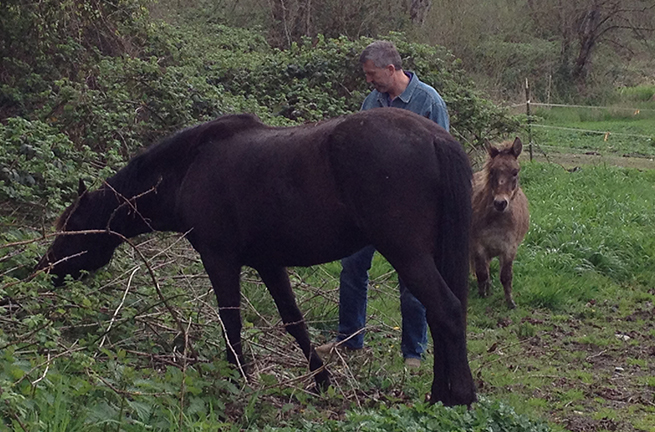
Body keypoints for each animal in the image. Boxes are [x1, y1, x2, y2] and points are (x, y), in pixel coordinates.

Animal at [34, 109, 476, 408]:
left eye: (72, 228)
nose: (42, 270)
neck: (189, 166)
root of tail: (434, 137)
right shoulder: (268, 262)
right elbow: (294, 322)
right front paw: (321, 380)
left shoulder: (220, 258)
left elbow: (230, 320)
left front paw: (237, 378)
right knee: (442, 316)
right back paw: (440, 394)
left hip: (407, 253)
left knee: (447, 311)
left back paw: (458, 397)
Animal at [472, 137, 528, 308]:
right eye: (492, 171)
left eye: (515, 172)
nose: (500, 203)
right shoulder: (478, 247)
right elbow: (482, 273)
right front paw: (482, 295)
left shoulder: (509, 249)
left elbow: (506, 276)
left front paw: (510, 302)